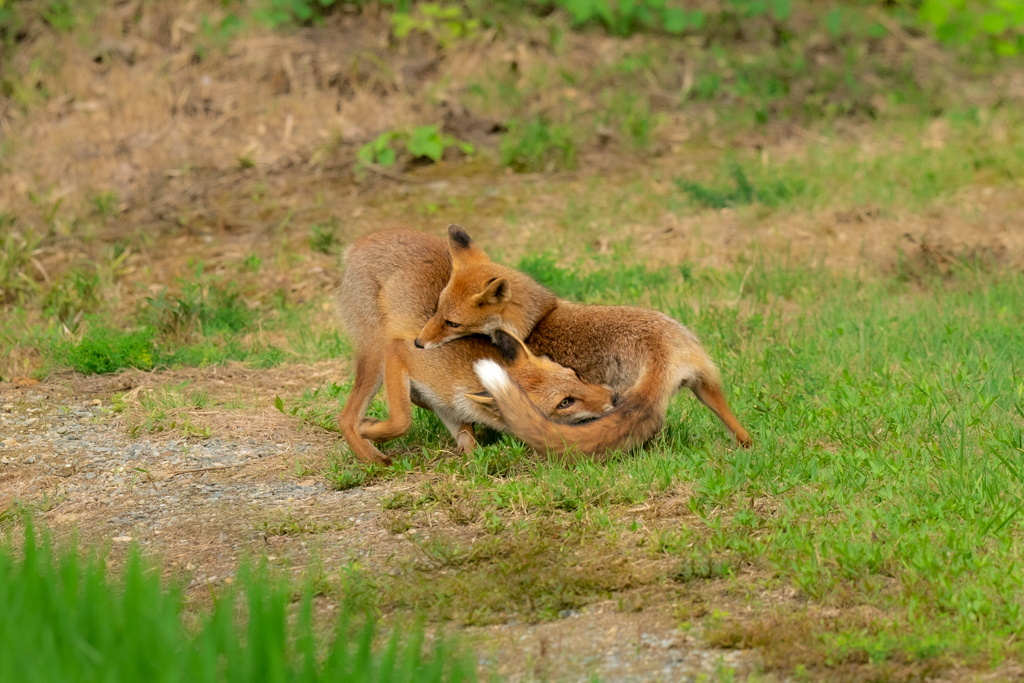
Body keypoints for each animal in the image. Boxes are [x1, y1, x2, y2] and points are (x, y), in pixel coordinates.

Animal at [335, 229, 610, 464]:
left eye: (575, 375)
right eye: (565, 403)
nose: (613, 397)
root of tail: (361, 242)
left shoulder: (447, 403)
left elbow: (466, 436)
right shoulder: (401, 354)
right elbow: (402, 421)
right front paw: (372, 430)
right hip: (376, 355)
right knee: (346, 418)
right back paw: (373, 458)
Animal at [409, 225, 753, 458]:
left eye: (452, 323)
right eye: (437, 309)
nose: (418, 343)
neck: (538, 320)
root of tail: (664, 348)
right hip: (706, 387)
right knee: (735, 427)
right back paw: (746, 446)